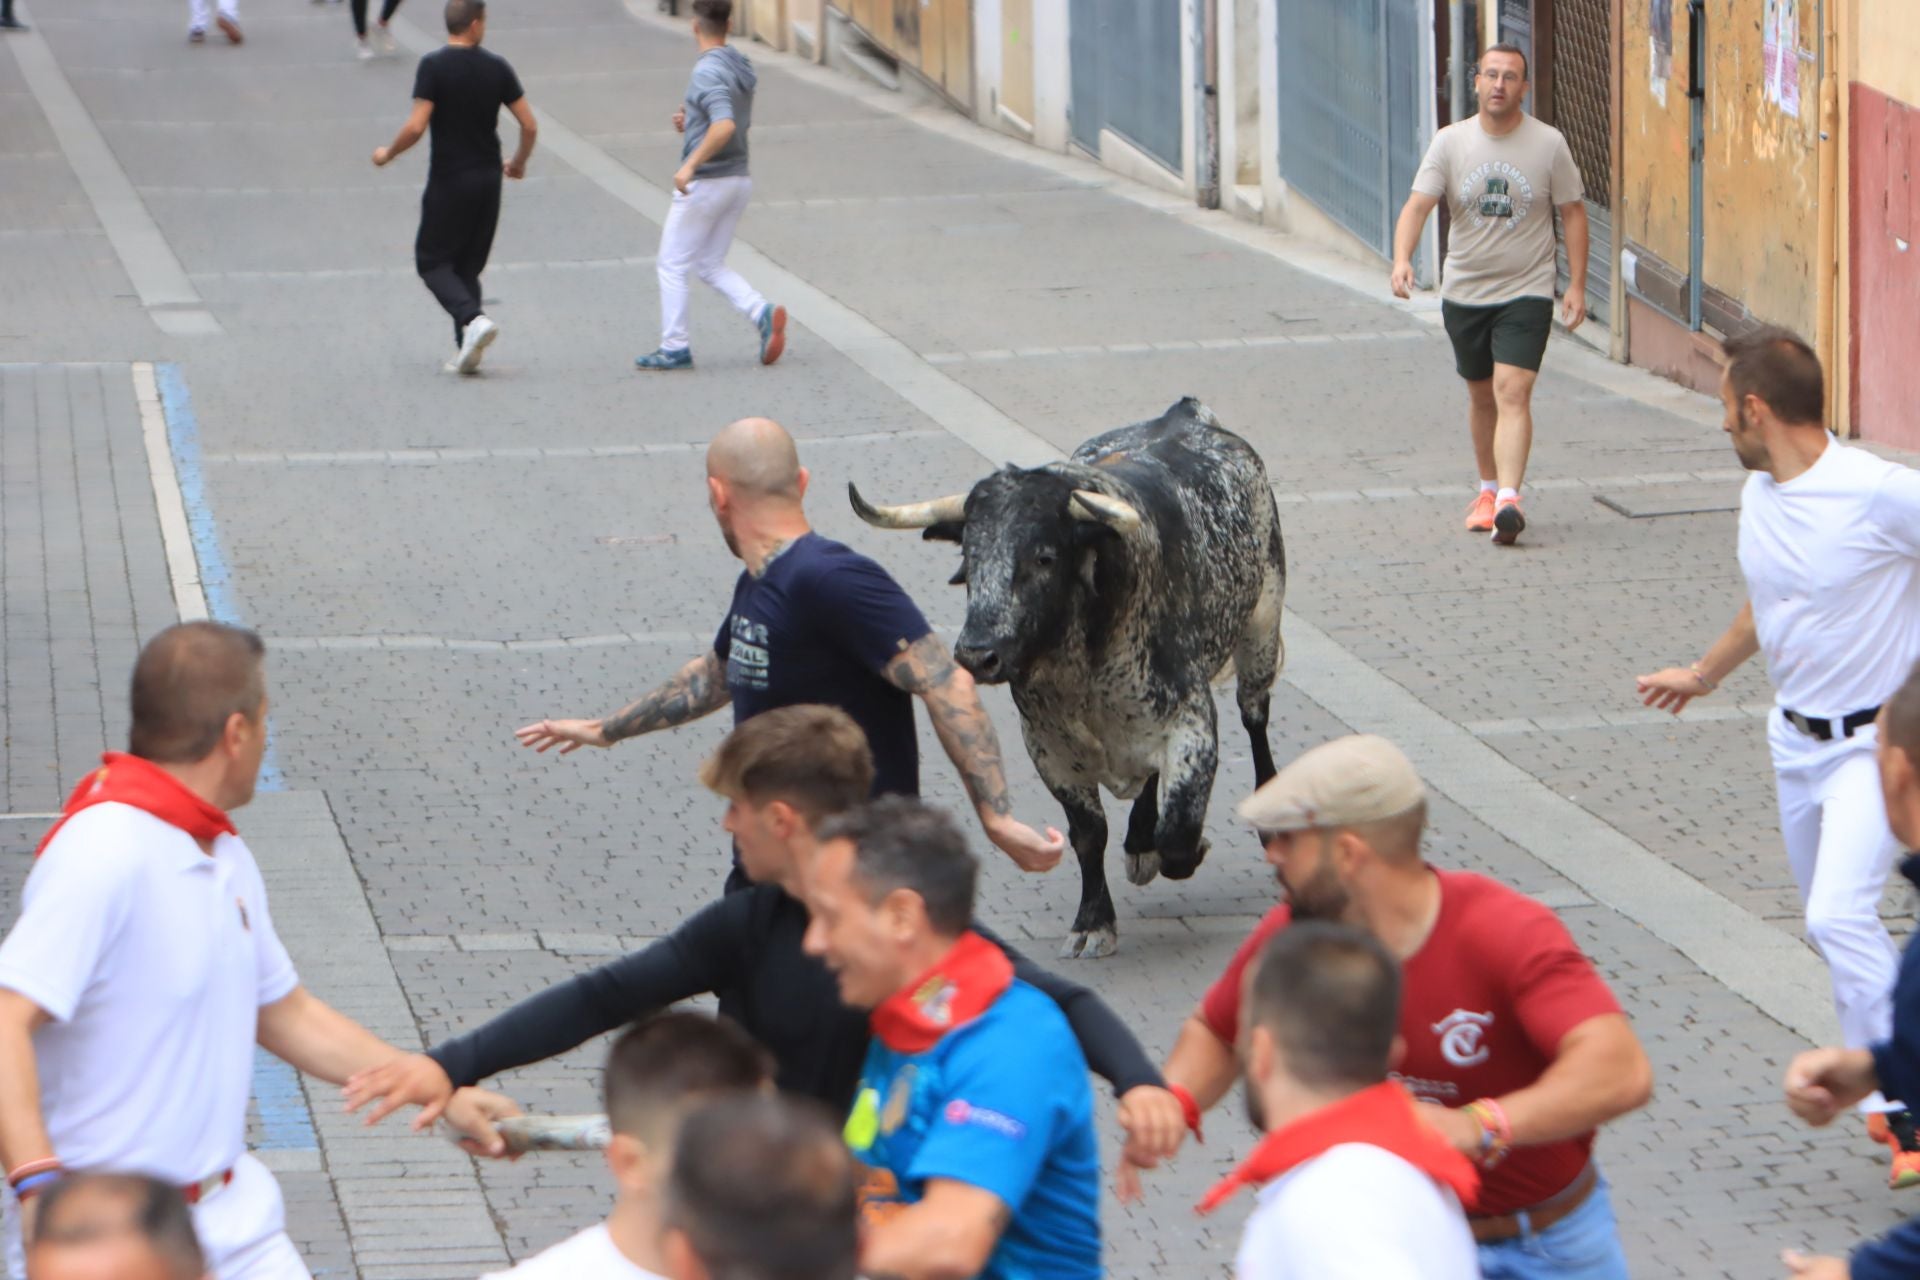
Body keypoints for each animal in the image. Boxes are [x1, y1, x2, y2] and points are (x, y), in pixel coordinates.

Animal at [848, 395, 1282, 955]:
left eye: (1045, 556)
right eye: (969, 557)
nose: (977, 654)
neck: (1083, 667)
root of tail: (1187, 411)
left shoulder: (1192, 723)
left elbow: (1179, 830)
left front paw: (1174, 852)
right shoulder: (1049, 747)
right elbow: (1088, 834)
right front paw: (1093, 920)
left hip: (1261, 627)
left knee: (1256, 721)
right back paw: (1138, 839)